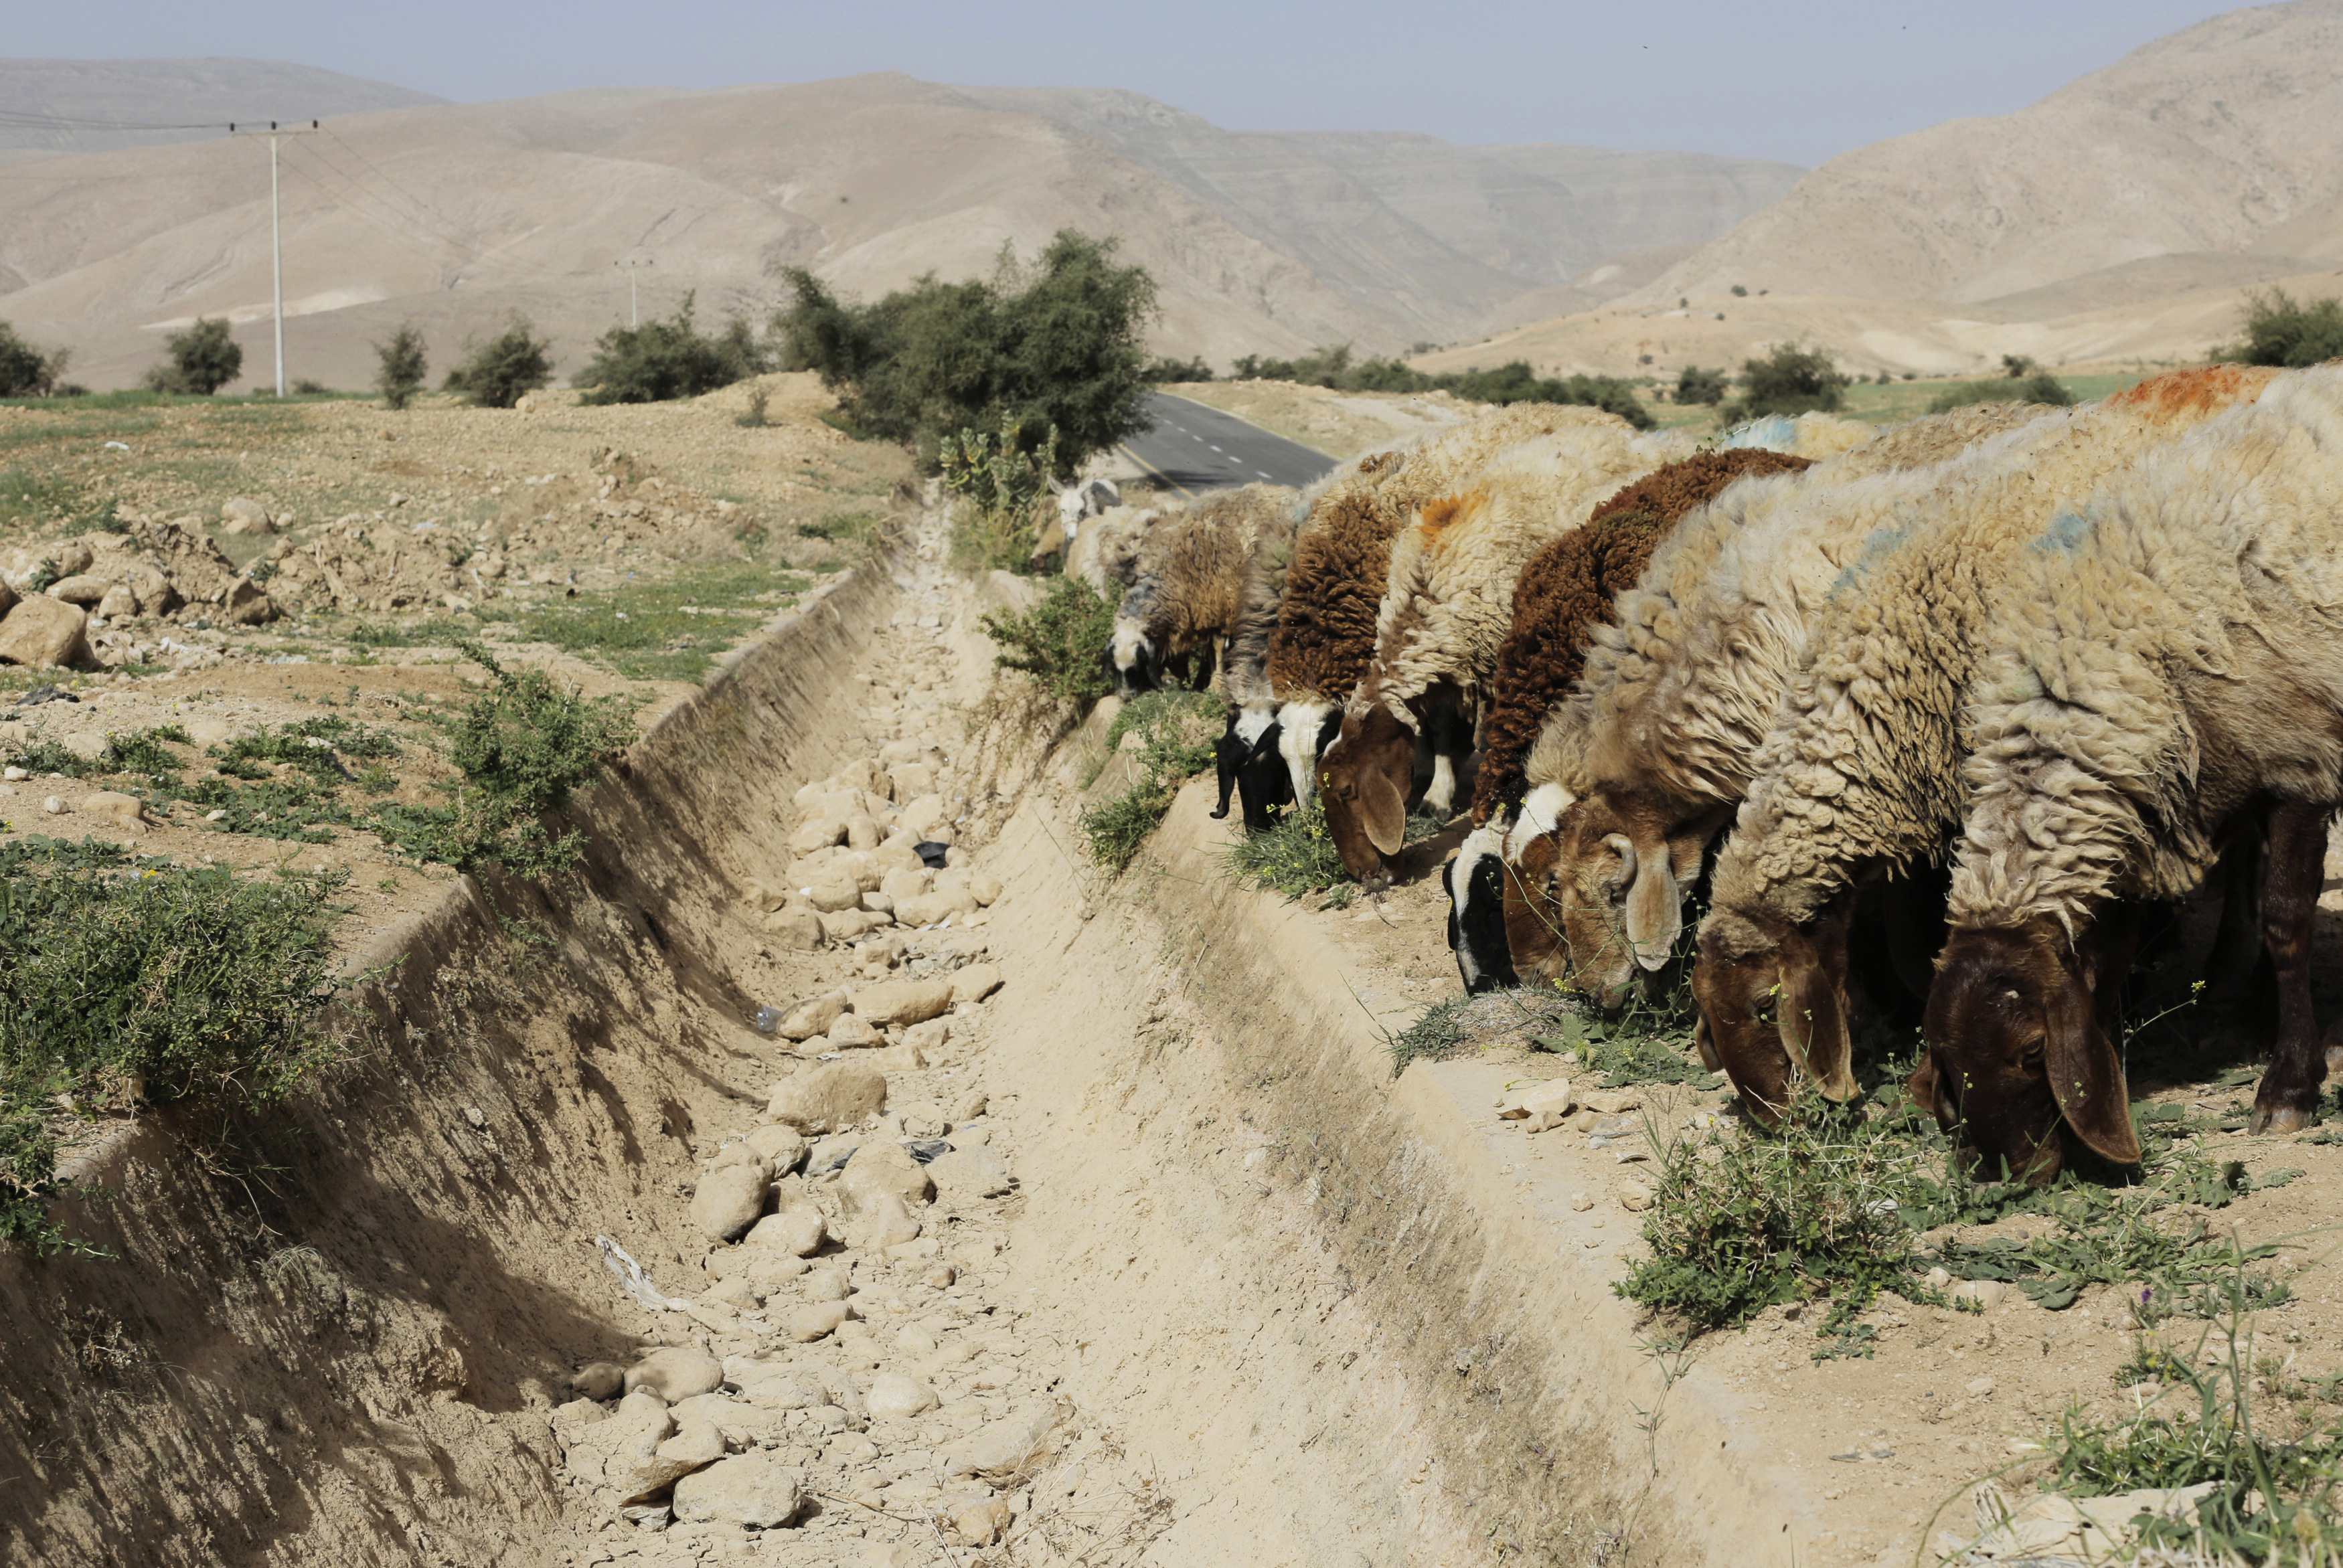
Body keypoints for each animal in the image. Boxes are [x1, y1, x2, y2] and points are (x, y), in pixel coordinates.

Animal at [1107, 483, 1296, 697]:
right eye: (1115, 668)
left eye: (1138, 664)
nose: (1126, 697)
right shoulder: (1204, 611)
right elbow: (1208, 649)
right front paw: (1202, 683)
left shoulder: (1222, 607)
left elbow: (1217, 646)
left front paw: (1216, 686)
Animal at [1912, 364, 2343, 1179]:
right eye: (1949, 1062)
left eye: (2030, 1053)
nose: (2013, 1176)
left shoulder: (2299, 763)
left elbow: (2284, 922)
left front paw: (2288, 1087)